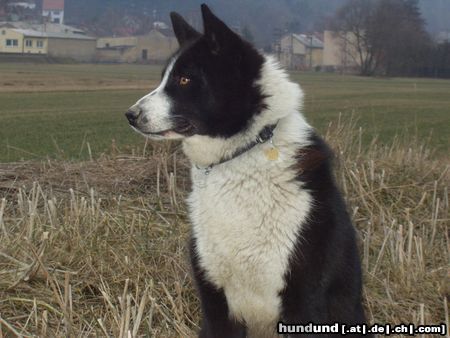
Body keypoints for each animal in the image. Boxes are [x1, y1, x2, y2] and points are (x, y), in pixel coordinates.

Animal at [125, 3, 368, 336]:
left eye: (185, 80)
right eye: (164, 78)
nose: (130, 115)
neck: (242, 155)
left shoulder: (303, 301)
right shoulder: (216, 306)